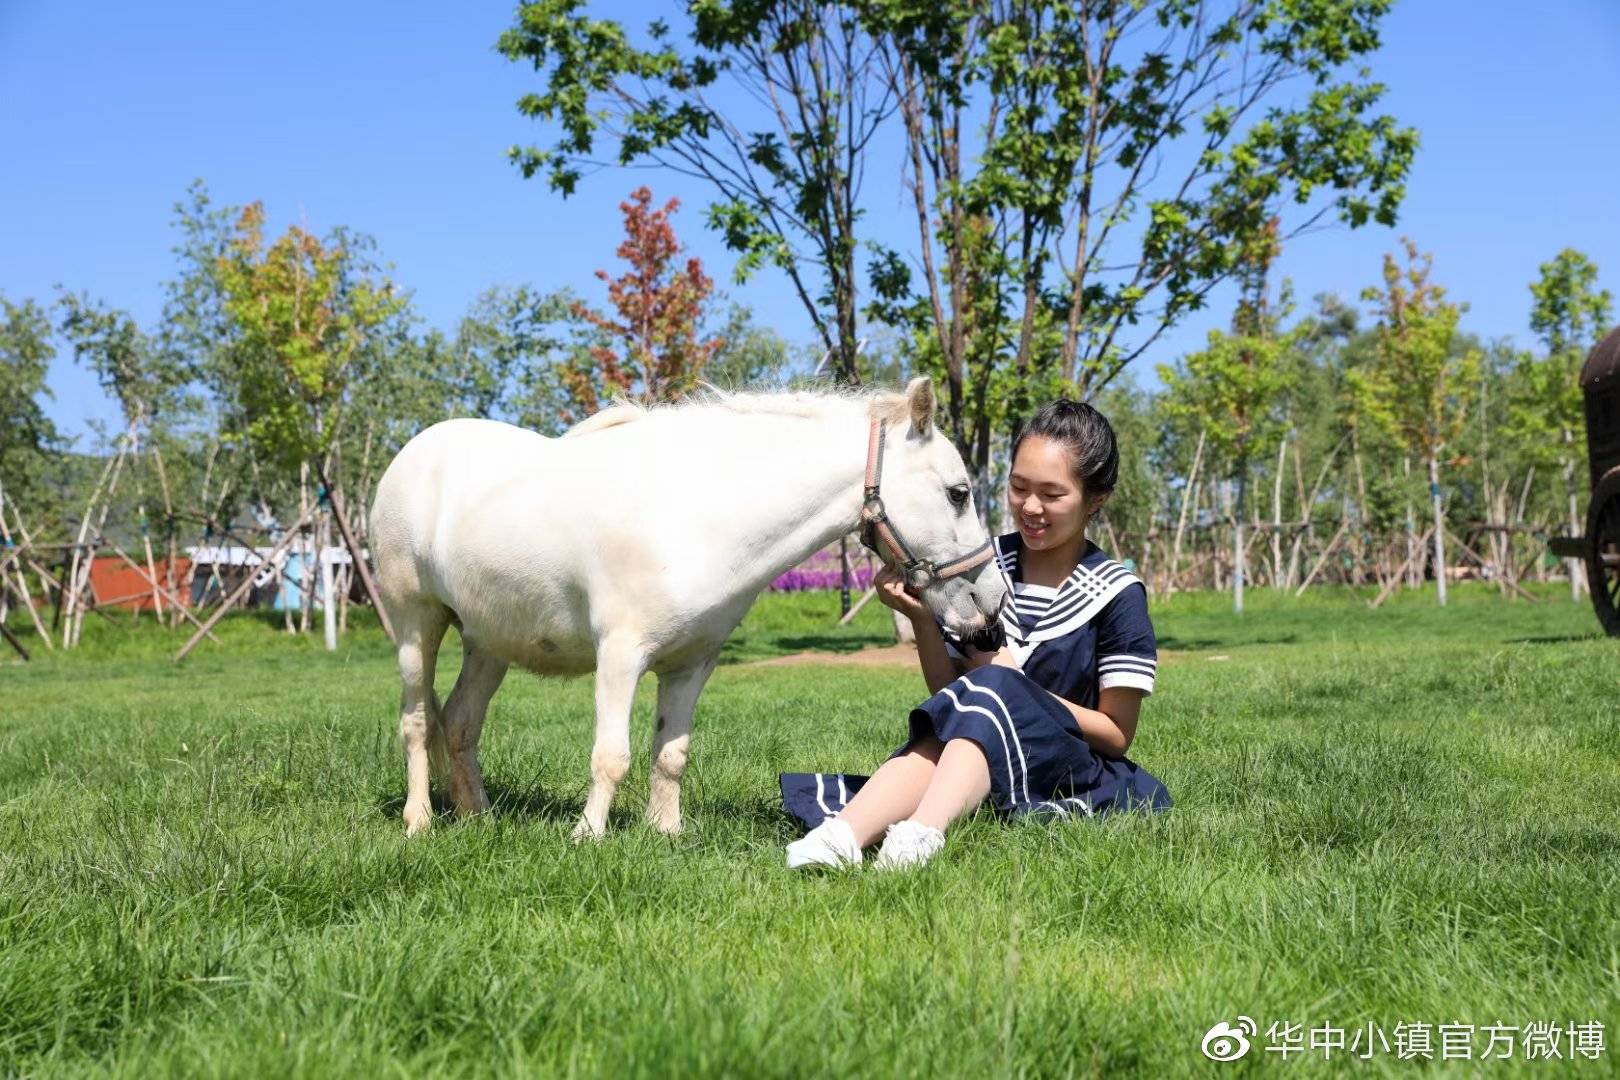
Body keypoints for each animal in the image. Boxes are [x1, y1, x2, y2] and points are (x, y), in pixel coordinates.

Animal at [370, 375, 997, 841]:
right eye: (959, 492)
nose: (988, 603)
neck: (697, 514)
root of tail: (412, 453)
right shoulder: (619, 655)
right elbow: (611, 754)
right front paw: (587, 836)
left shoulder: (693, 662)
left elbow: (671, 753)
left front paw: (665, 832)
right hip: (415, 623)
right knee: (417, 719)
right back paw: (419, 820)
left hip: (488, 640)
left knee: (460, 720)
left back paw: (477, 816)